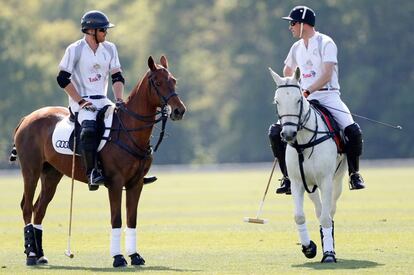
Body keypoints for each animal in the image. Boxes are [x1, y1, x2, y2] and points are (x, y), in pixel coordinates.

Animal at [9, 55, 186, 268]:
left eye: (174, 81)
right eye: (158, 83)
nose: (179, 110)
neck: (129, 130)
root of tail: (26, 118)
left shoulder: (136, 183)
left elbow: (132, 219)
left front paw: (135, 256)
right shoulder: (115, 182)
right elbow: (116, 219)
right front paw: (118, 258)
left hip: (51, 173)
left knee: (39, 209)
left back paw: (41, 254)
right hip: (31, 170)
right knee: (27, 206)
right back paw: (31, 255)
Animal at [268, 67, 346, 264]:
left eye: (298, 100)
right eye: (277, 101)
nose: (288, 134)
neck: (304, 142)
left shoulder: (326, 180)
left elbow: (326, 218)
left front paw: (329, 254)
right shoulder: (298, 182)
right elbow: (299, 216)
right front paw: (309, 247)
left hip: (338, 179)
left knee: (330, 211)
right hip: (310, 184)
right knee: (319, 210)